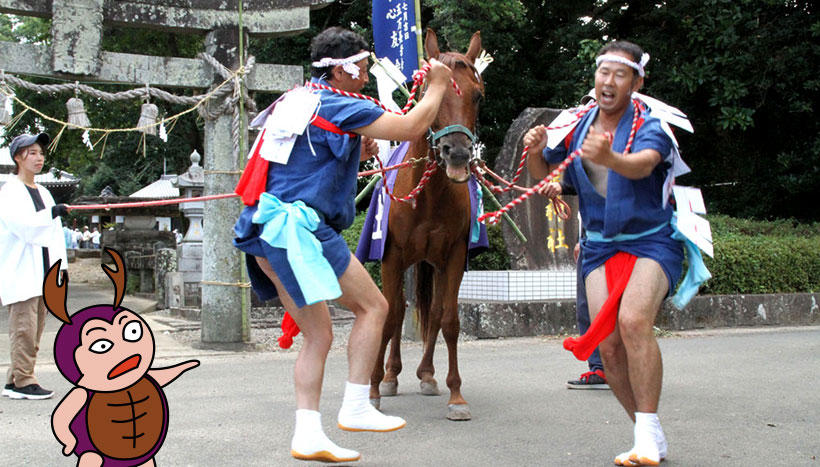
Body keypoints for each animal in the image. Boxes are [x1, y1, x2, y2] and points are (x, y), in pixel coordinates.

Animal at [370, 30, 484, 424]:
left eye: (476, 94)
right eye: (428, 94)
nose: (458, 153)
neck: (430, 197)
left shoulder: (453, 256)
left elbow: (448, 320)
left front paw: (457, 396)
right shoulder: (391, 257)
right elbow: (390, 317)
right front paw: (374, 389)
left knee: (431, 314)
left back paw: (427, 374)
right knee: (397, 311)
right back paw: (390, 375)